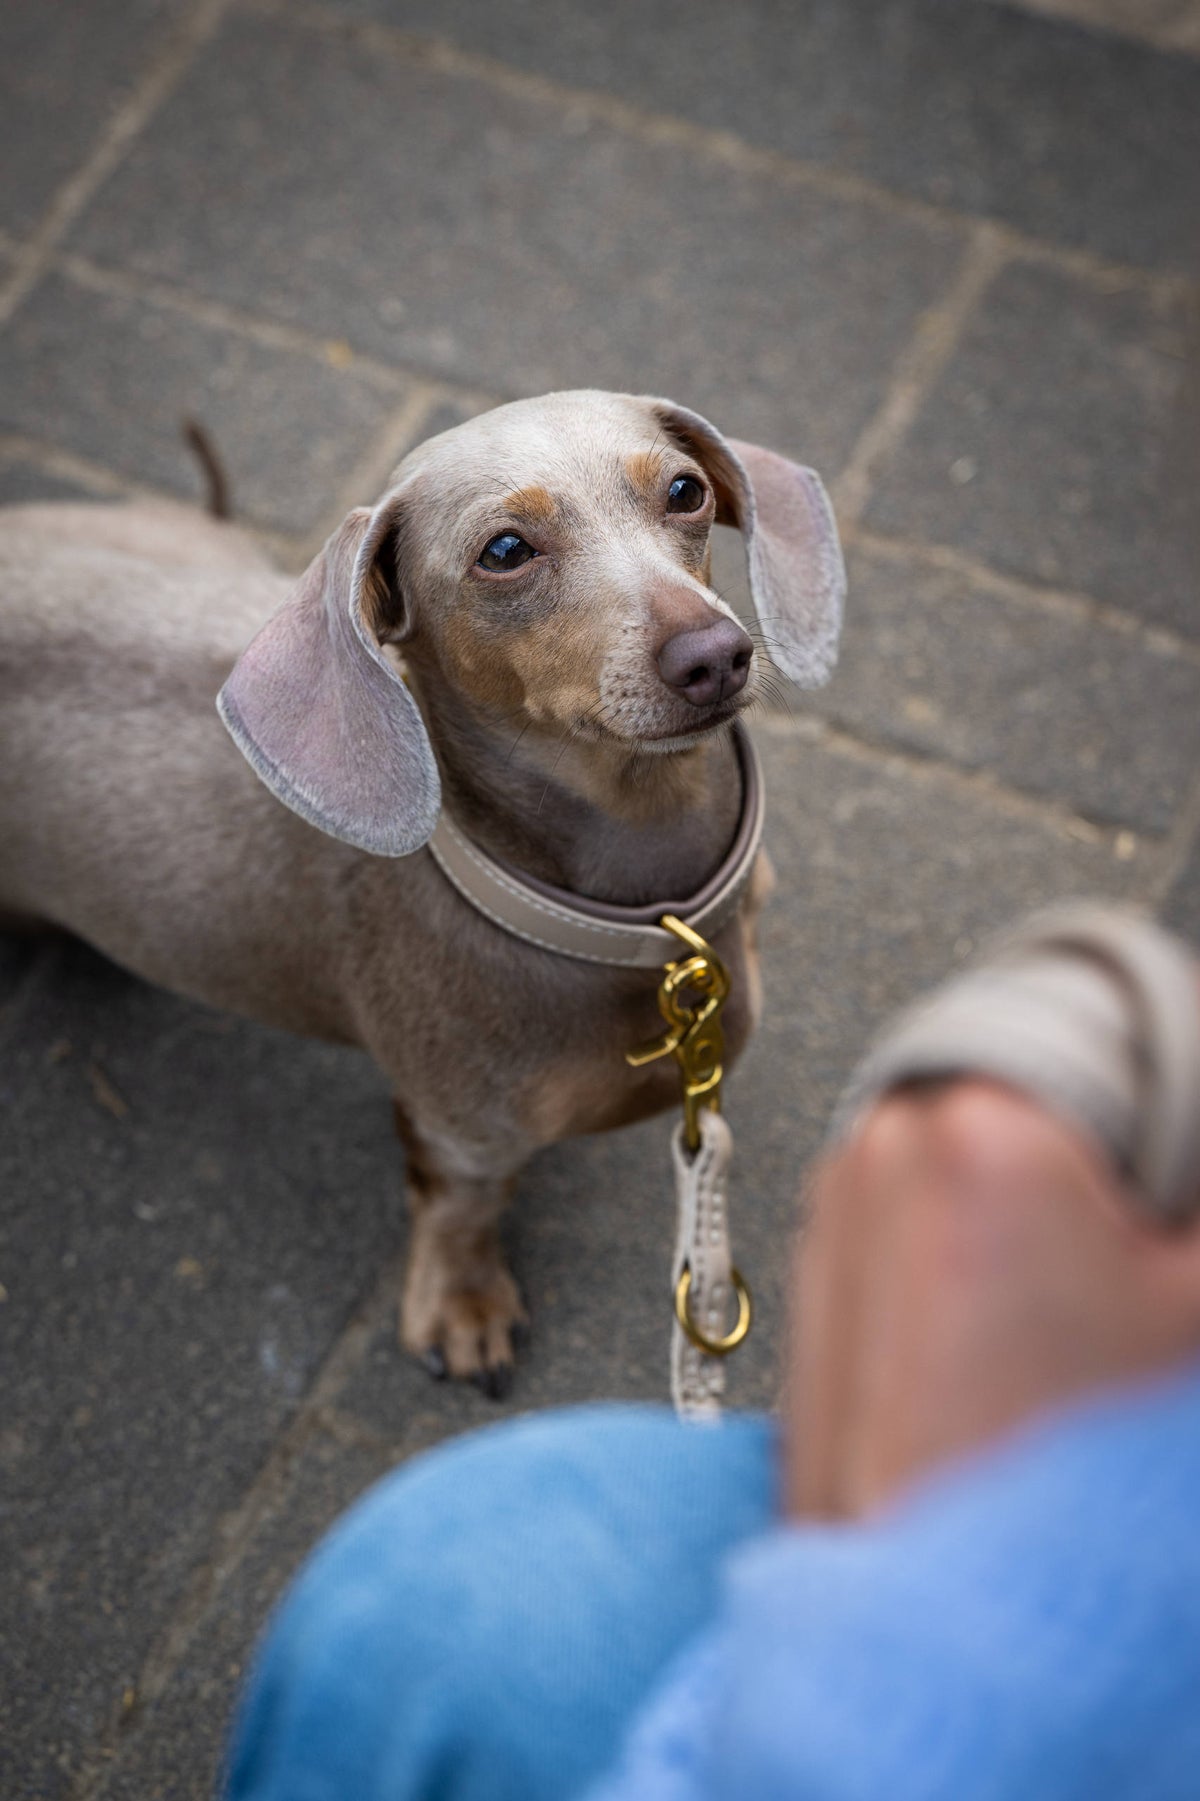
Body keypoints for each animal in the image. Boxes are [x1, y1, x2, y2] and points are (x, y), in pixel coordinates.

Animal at [0, 394, 839, 1390]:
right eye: (505, 550)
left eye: (685, 491)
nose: (717, 655)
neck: (644, 918)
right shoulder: (458, 1132)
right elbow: (461, 1206)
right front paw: (464, 1303)